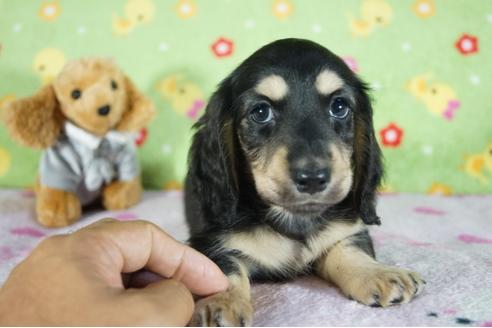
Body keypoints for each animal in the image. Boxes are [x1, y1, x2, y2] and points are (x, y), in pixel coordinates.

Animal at [184, 38, 422, 326]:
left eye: (339, 107)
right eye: (260, 112)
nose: (312, 178)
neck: (294, 219)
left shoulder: (346, 231)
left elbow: (350, 251)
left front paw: (378, 273)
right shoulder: (208, 243)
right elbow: (222, 272)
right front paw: (222, 303)